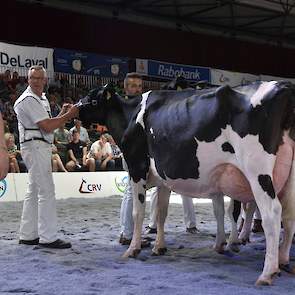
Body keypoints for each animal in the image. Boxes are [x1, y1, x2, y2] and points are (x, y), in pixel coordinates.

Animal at [118, 81, 295, 286]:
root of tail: (285, 87)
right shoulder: (163, 180)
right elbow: (162, 212)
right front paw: (159, 247)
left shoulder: (136, 166)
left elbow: (138, 211)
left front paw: (133, 248)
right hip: (289, 177)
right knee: (289, 216)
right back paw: (283, 259)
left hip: (257, 170)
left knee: (272, 213)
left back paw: (267, 273)